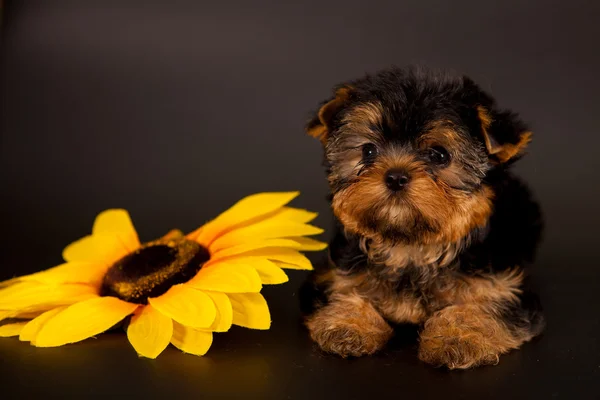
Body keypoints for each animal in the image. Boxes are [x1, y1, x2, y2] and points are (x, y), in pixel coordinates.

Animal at [300, 66, 544, 368]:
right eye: (368, 151)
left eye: (439, 155)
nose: (395, 176)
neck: (410, 246)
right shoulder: (332, 275)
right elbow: (343, 290)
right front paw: (347, 324)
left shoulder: (505, 287)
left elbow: (488, 307)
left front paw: (457, 336)